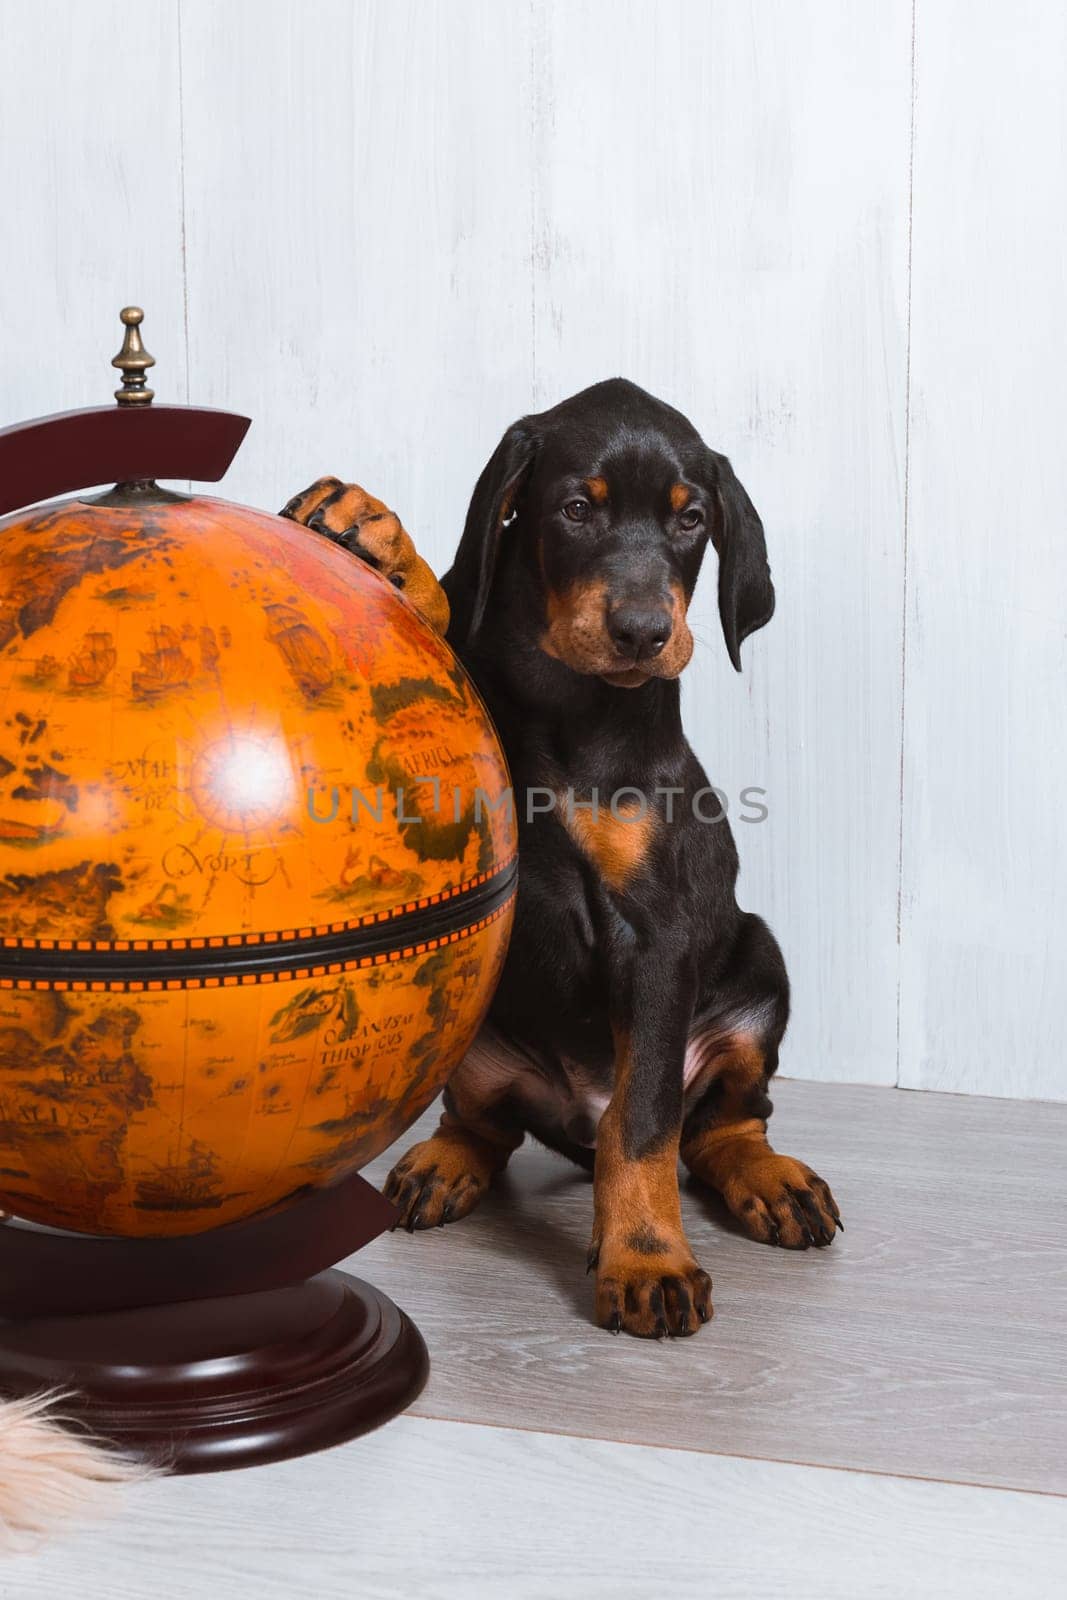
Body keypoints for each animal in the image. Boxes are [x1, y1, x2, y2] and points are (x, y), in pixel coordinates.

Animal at [283, 384, 844, 1337]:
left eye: (690, 519)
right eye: (576, 509)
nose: (643, 632)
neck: (574, 703)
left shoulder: (654, 934)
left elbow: (644, 1124)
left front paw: (646, 1258)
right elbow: (450, 620)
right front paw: (379, 541)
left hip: (758, 964)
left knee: (720, 1123)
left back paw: (771, 1181)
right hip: (480, 1035)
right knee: (484, 1122)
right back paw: (444, 1161)